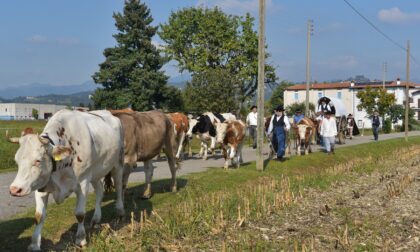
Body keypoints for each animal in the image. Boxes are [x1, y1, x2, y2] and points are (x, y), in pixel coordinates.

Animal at [8, 110, 124, 250]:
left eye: (38, 160)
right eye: (16, 160)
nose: (15, 189)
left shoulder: (83, 182)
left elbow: (80, 214)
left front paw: (81, 239)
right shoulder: (40, 186)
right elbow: (39, 216)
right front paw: (34, 244)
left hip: (118, 163)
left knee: (119, 187)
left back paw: (120, 212)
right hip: (95, 172)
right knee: (99, 191)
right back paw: (96, 219)